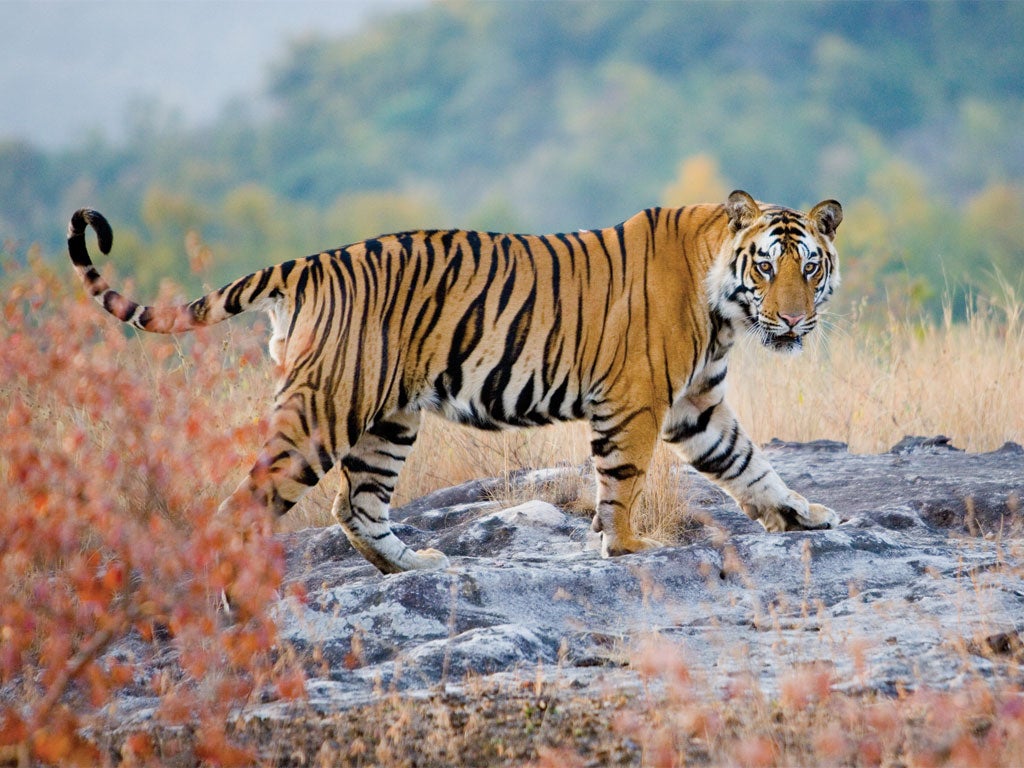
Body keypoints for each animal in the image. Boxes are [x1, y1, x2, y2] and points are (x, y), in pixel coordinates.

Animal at [67, 189, 843, 573]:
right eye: (767, 267)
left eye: (810, 268)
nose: (794, 321)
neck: (724, 308)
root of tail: (308, 263)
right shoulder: (636, 401)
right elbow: (622, 481)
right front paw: (625, 549)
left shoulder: (696, 404)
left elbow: (749, 463)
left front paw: (802, 515)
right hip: (325, 411)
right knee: (247, 504)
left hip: (387, 419)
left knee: (356, 506)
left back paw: (414, 566)